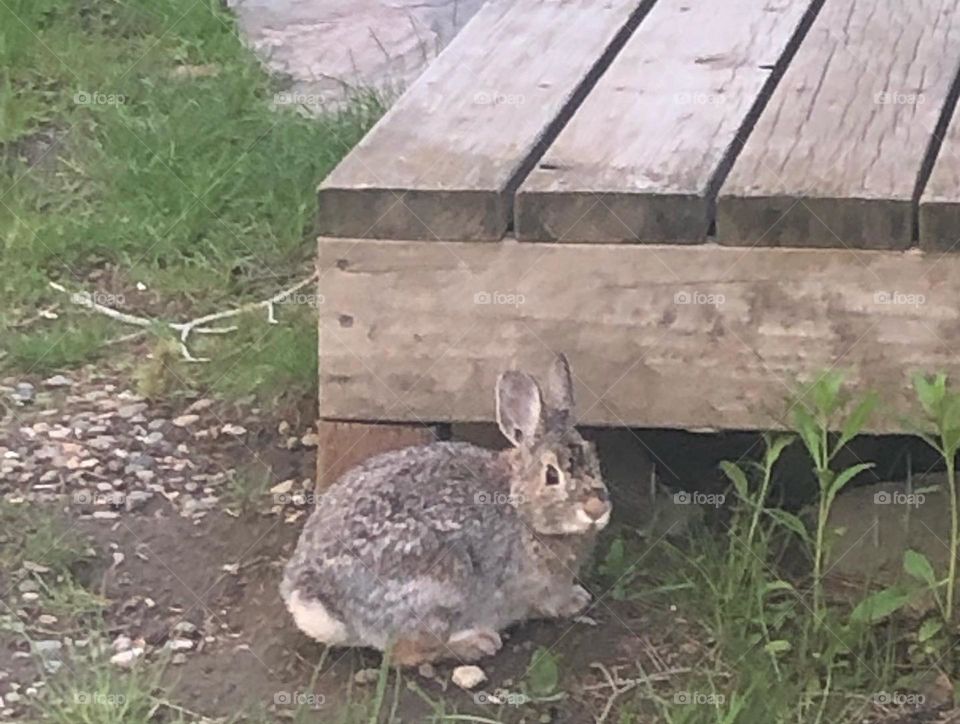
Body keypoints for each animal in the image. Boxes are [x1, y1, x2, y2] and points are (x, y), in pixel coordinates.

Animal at [280, 354, 608, 664]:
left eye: (594, 457)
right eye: (552, 475)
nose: (597, 508)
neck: (518, 503)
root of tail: (314, 596)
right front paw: (575, 600)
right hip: (438, 586)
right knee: (403, 653)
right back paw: (476, 644)